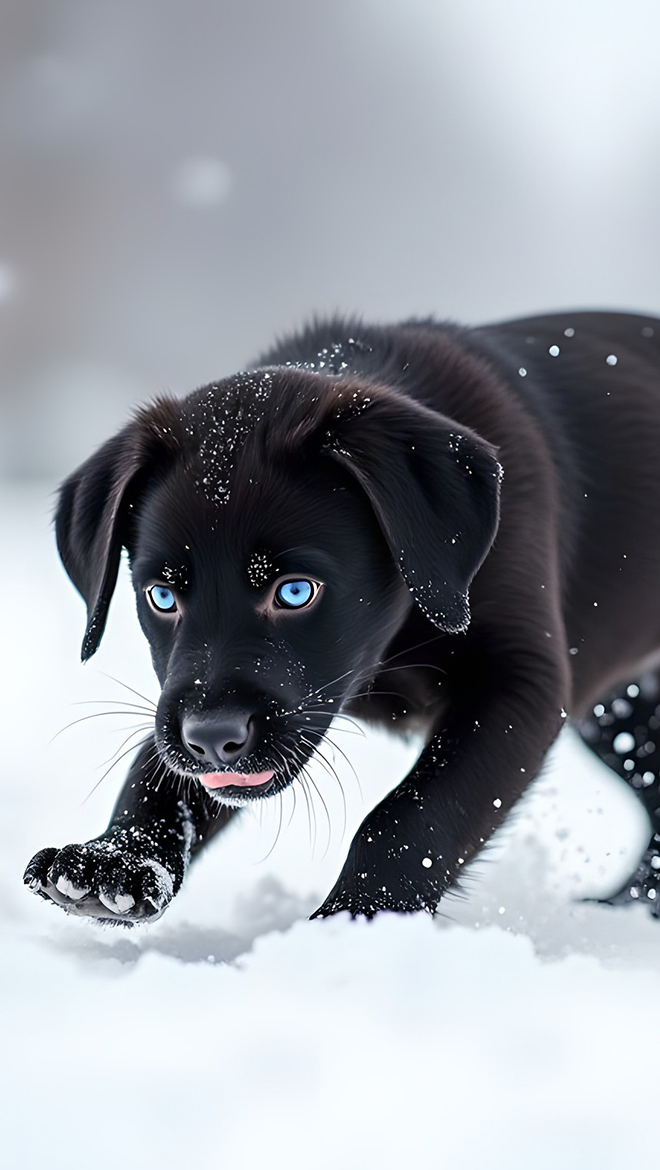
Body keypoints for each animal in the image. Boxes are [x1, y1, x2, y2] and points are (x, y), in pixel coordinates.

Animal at [25, 308, 660, 921]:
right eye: (161, 597)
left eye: (294, 592)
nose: (212, 738)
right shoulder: (183, 702)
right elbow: (158, 778)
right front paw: (118, 863)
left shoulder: (520, 678)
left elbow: (415, 814)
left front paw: (357, 917)